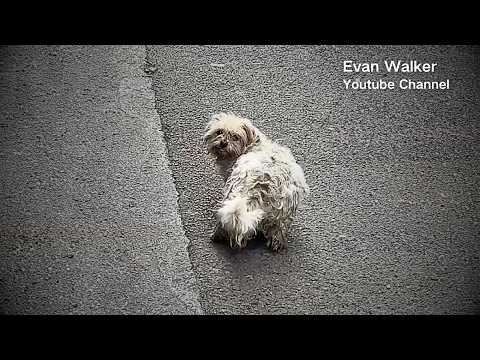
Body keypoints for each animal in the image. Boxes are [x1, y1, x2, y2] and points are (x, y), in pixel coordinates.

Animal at [203, 112, 310, 250]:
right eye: (219, 131)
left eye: (235, 137)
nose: (223, 143)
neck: (252, 145)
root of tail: (262, 185)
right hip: (282, 212)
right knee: (277, 230)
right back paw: (277, 244)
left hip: (233, 195)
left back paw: (218, 235)